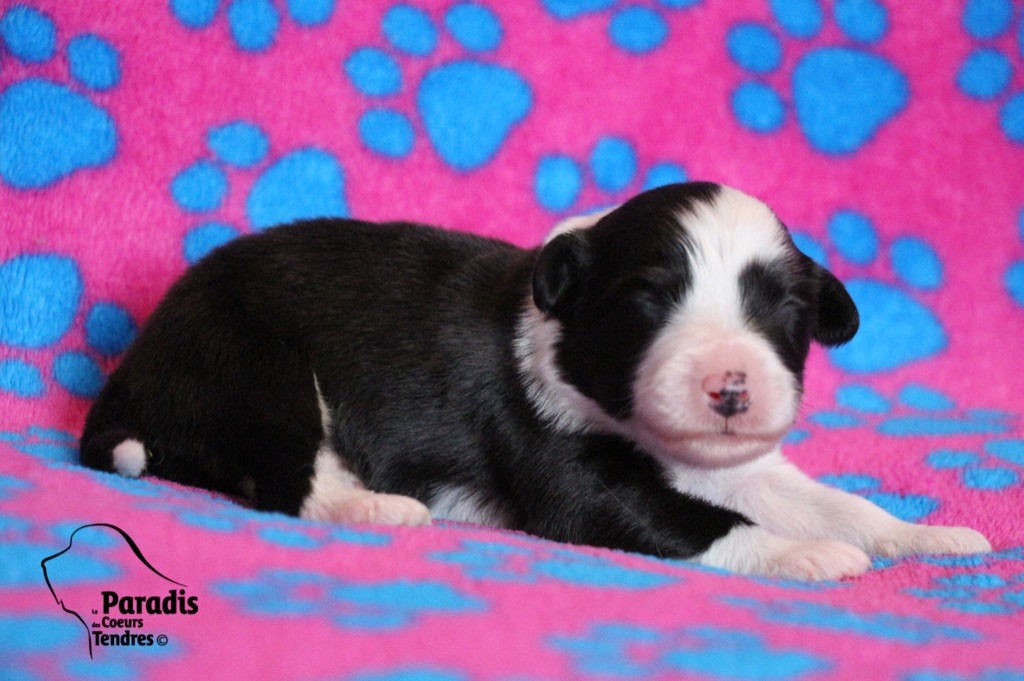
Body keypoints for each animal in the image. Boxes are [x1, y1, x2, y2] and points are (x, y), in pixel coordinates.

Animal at [81, 182, 991, 577]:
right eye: (649, 302)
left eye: (787, 311)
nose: (730, 387)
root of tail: (132, 372)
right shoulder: (573, 473)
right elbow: (703, 523)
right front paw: (807, 554)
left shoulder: (743, 465)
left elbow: (829, 500)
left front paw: (926, 536)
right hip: (252, 362)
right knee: (287, 480)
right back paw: (379, 507)